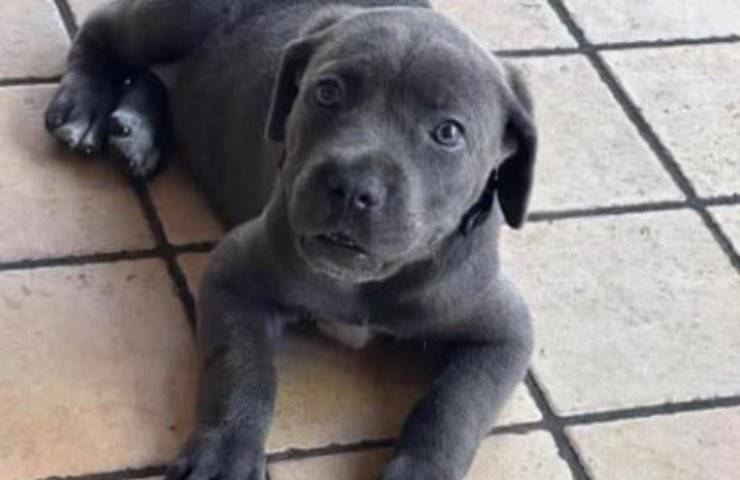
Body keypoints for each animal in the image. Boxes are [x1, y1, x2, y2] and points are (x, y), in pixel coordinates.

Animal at [44, 0, 536, 480]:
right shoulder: (235, 273)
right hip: (180, 16)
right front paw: (226, 456)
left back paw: (138, 128)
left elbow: (454, 407)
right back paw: (84, 108)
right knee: (103, 32)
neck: (364, 285)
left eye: (448, 132)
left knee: (160, 77)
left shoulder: (504, 332)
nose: (352, 188)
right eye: (327, 92)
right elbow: (244, 368)